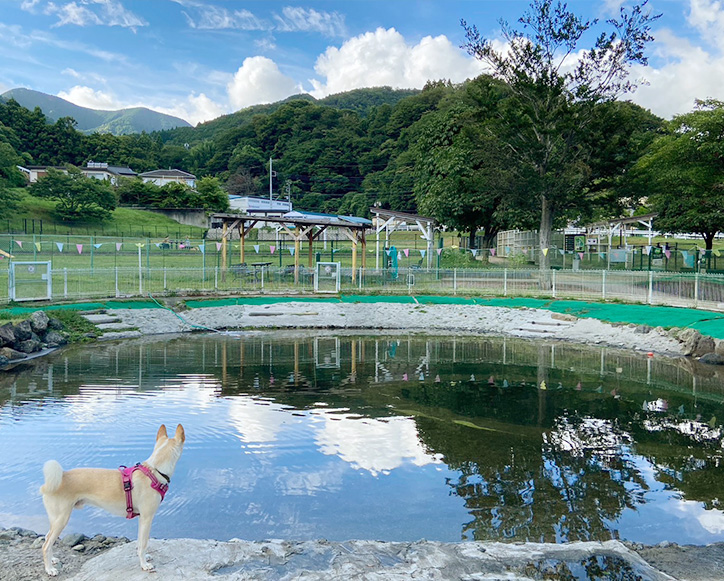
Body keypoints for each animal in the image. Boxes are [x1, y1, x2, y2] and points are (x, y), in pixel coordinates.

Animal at [39, 424, 185, 576]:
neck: (154, 471)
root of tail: (60, 477)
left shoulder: (141, 519)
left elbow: (139, 542)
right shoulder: (147, 518)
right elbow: (143, 544)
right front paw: (144, 564)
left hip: (55, 519)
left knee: (47, 538)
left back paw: (53, 560)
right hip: (61, 519)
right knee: (46, 545)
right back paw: (49, 569)